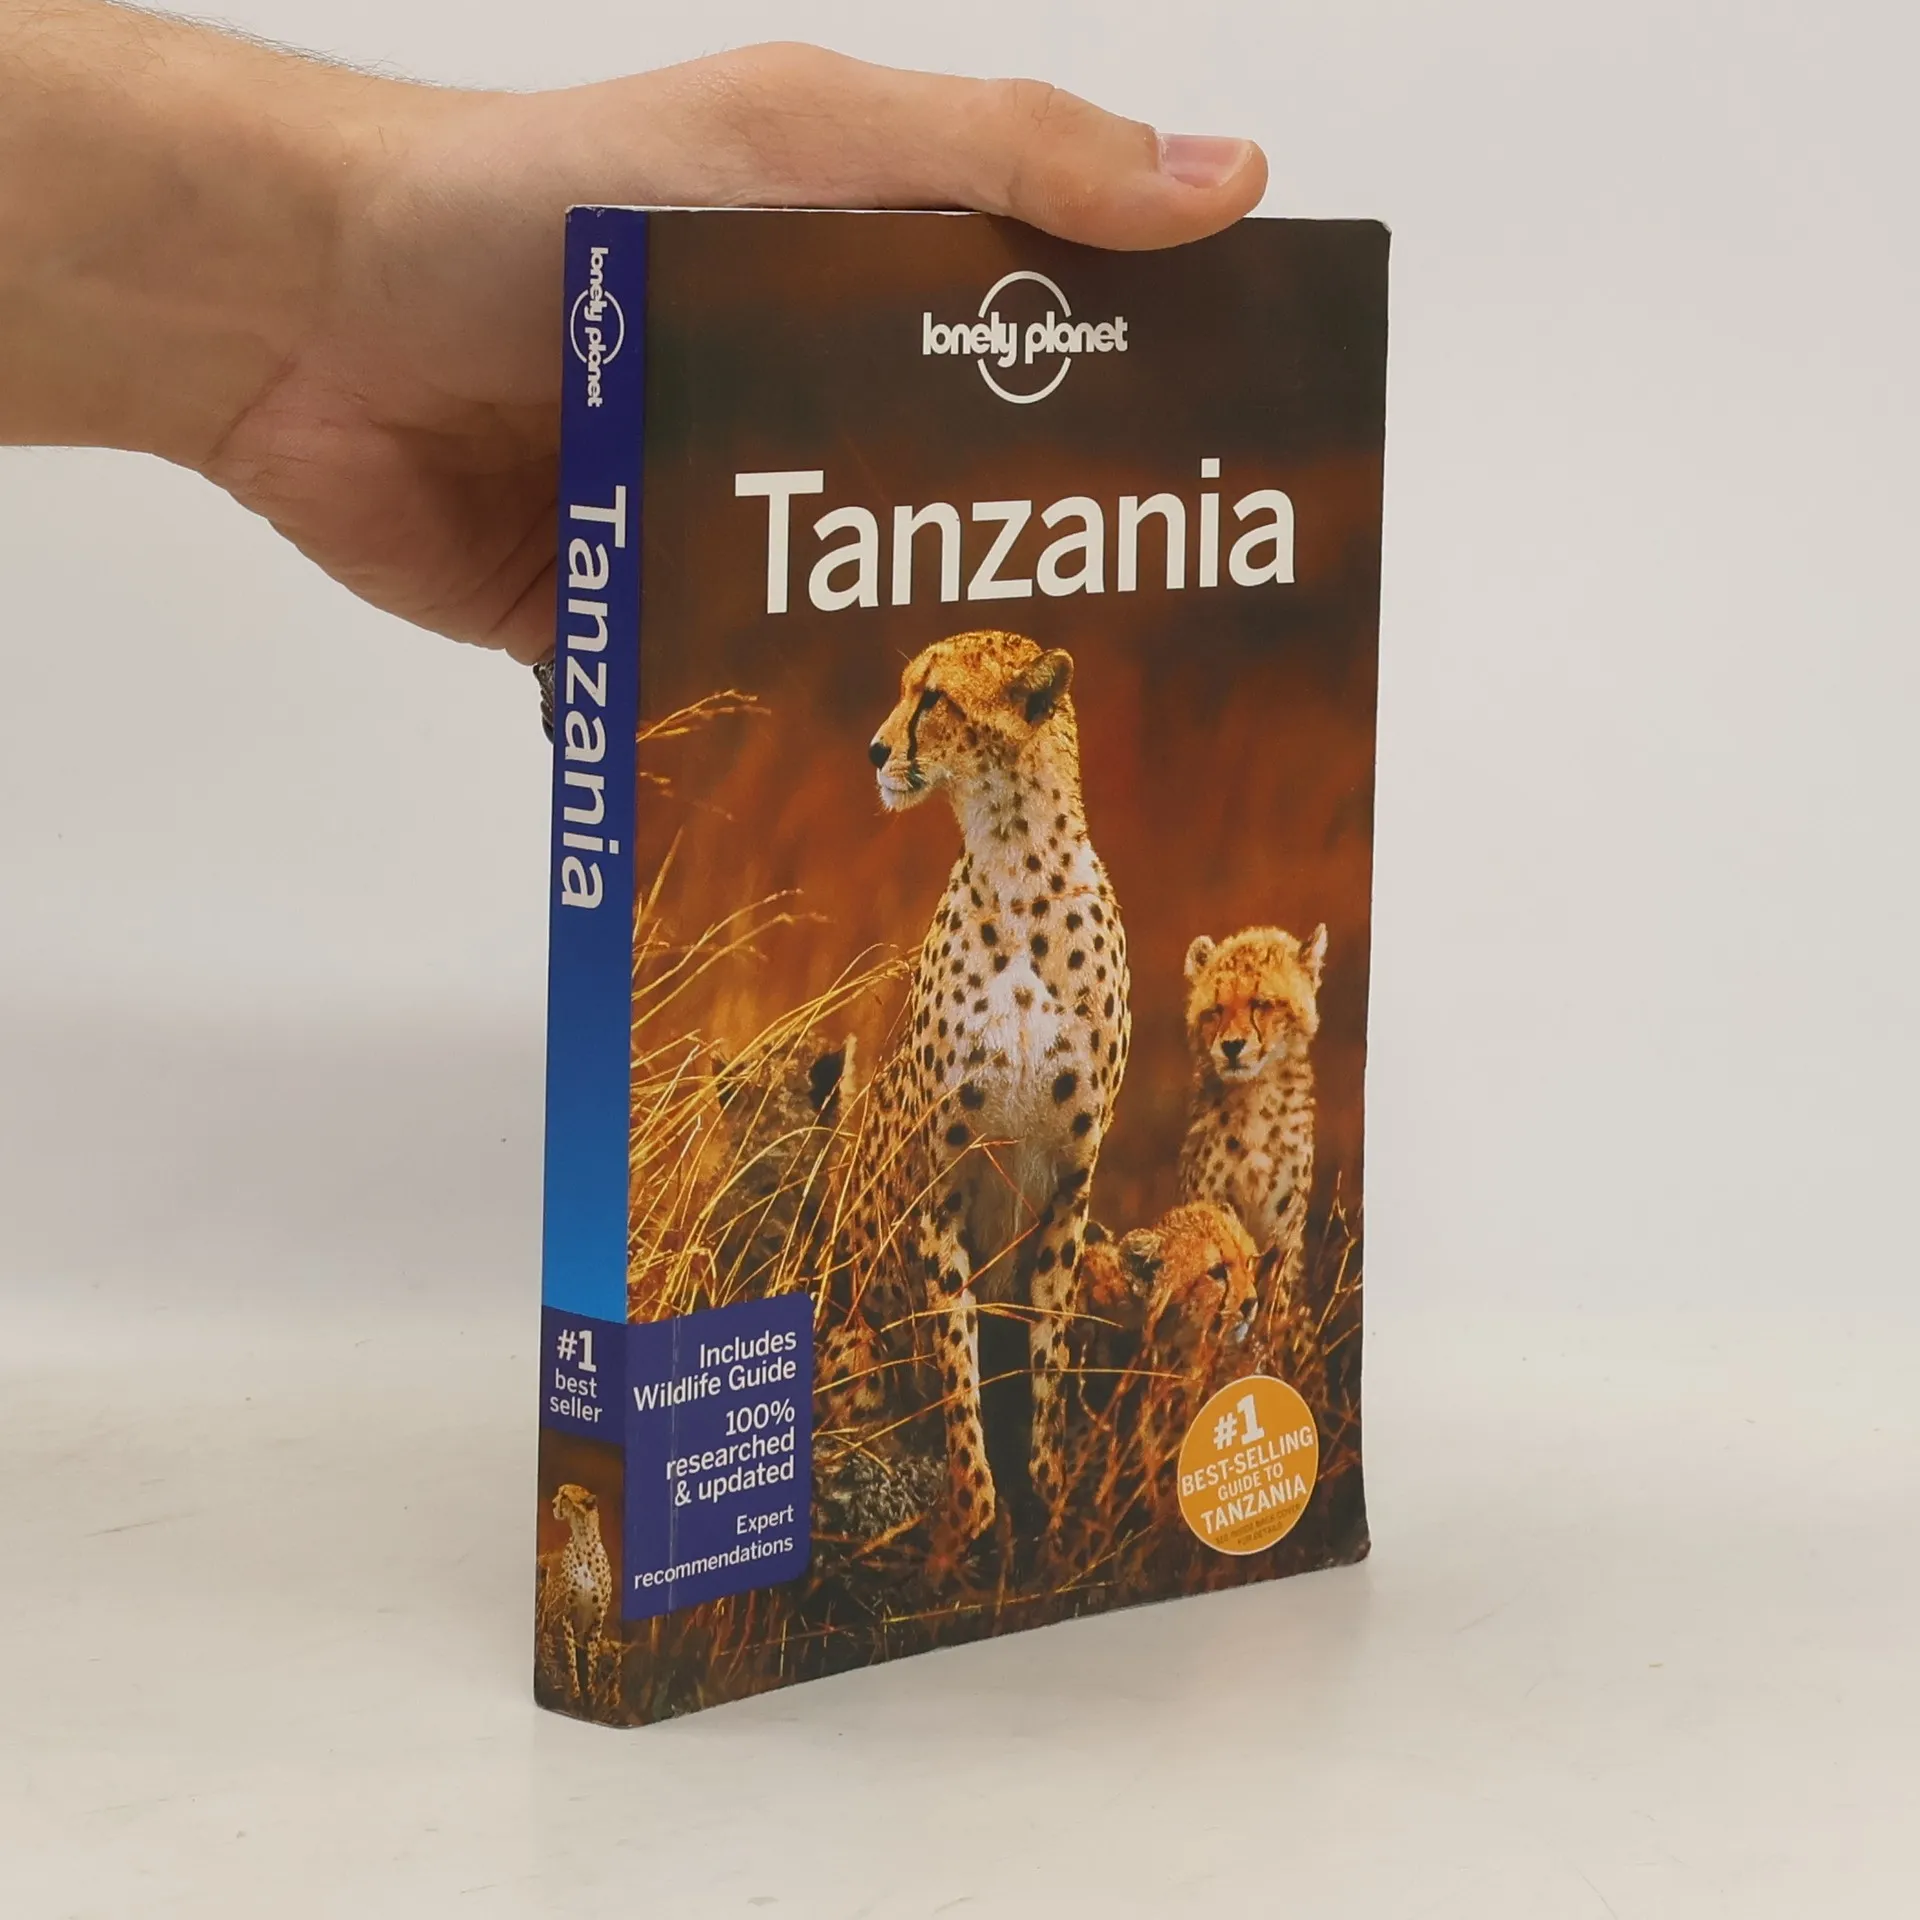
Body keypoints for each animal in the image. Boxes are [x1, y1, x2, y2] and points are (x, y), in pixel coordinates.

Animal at [824, 630, 1131, 1550]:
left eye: (935, 698)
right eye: (903, 689)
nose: (875, 750)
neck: (1017, 862)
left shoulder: (1070, 1191)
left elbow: (1048, 1370)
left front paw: (1051, 1515)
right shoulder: (942, 1193)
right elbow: (957, 1371)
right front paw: (970, 1519)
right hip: (851, 1343)